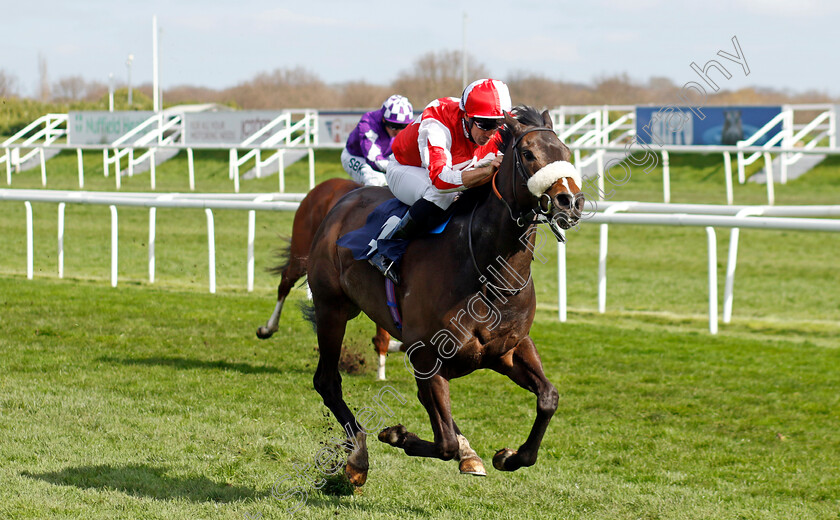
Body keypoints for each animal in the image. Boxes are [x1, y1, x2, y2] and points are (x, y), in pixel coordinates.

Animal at [306, 103, 580, 486]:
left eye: (566, 153)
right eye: (528, 154)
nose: (571, 201)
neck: (488, 270)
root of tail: (342, 200)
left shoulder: (509, 350)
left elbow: (548, 398)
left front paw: (509, 456)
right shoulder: (426, 357)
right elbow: (444, 443)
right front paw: (397, 435)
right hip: (331, 307)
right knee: (328, 381)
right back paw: (358, 455)